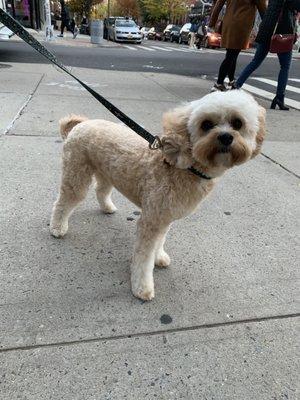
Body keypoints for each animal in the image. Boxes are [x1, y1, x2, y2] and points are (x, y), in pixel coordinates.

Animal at [50, 89, 266, 298]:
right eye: (206, 124)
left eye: (237, 123)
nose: (226, 137)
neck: (187, 167)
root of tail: (82, 124)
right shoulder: (152, 220)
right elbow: (143, 258)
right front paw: (142, 287)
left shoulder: (165, 217)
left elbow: (160, 241)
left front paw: (159, 256)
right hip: (76, 175)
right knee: (63, 202)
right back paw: (57, 228)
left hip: (107, 172)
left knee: (101, 190)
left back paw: (107, 207)